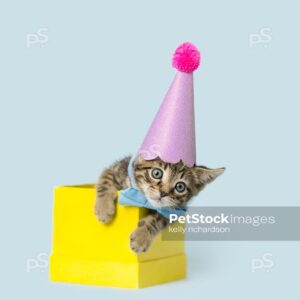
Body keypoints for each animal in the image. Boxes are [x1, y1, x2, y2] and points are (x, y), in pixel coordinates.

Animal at [95, 155, 224, 253]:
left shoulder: (173, 211)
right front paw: (103, 209)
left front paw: (140, 238)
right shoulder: (117, 169)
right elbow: (106, 180)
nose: (163, 193)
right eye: (156, 173)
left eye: (180, 187)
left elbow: (155, 219)